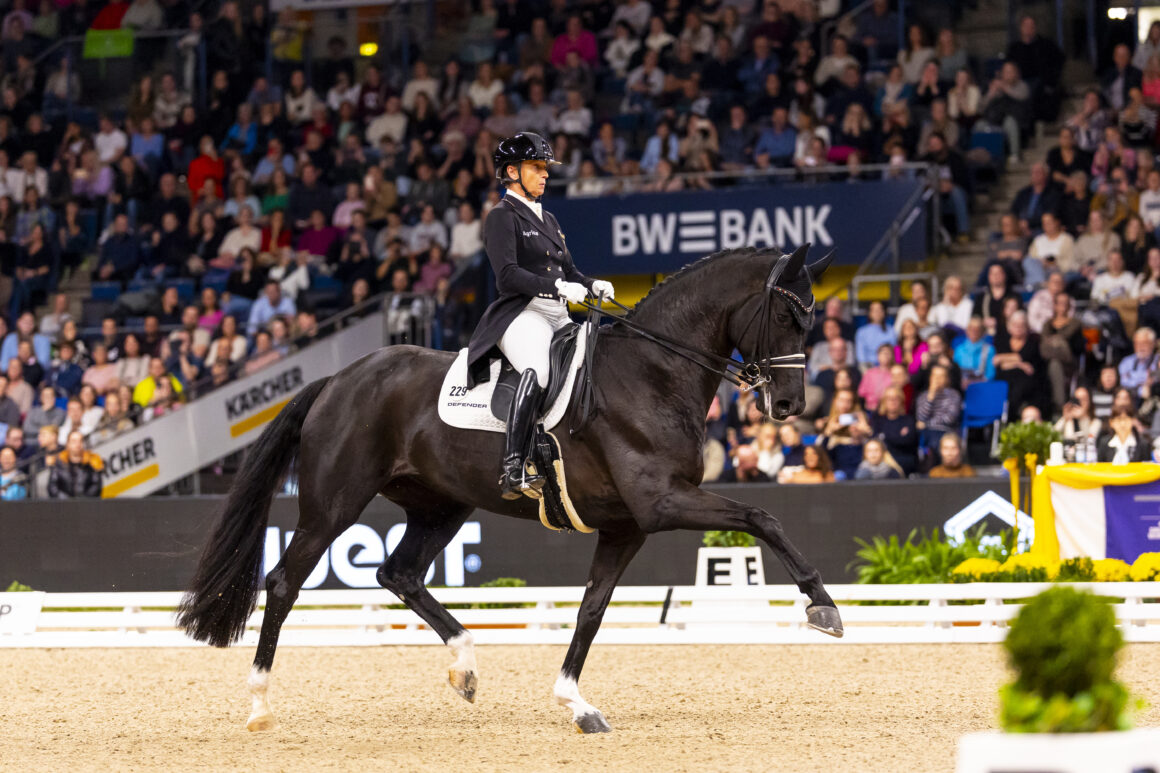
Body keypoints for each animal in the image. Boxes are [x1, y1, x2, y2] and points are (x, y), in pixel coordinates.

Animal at [174, 243, 844, 733]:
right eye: (787, 315)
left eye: (813, 318)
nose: (790, 406)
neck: (652, 373)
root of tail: (338, 378)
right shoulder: (660, 504)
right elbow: (761, 517)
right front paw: (823, 607)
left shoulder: (625, 526)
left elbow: (591, 610)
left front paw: (576, 704)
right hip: (333, 504)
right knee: (285, 582)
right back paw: (260, 704)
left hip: (441, 506)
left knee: (399, 573)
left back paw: (466, 668)